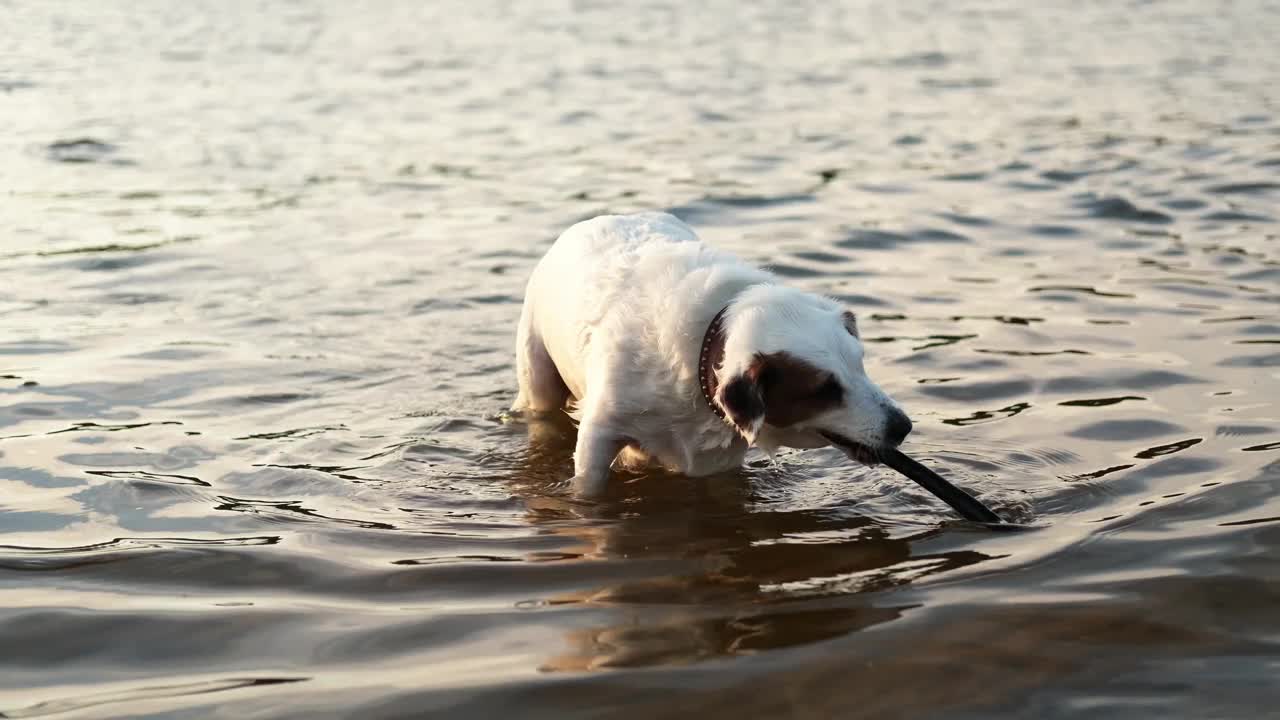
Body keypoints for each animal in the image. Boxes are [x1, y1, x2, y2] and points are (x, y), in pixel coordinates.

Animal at [509, 210, 911, 497]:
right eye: (823, 390)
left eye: (860, 365)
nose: (903, 427)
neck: (706, 345)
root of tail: (599, 217)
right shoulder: (600, 433)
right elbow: (588, 487)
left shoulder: (717, 460)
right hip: (538, 374)